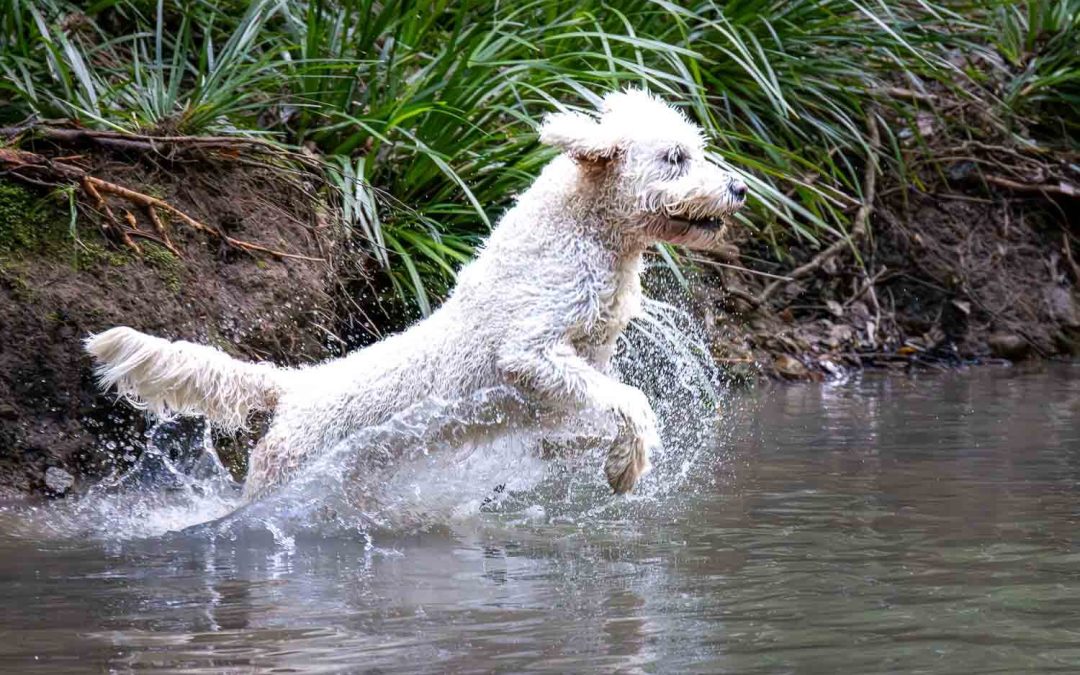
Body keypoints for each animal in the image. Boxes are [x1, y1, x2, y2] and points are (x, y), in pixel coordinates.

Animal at [84, 89, 747, 496]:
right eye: (675, 157)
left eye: (696, 151)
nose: (739, 189)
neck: (580, 234)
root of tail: (295, 386)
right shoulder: (529, 353)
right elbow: (631, 401)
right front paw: (625, 468)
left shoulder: (583, 364)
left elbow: (600, 409)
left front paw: (607, 456)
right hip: (284, 472)